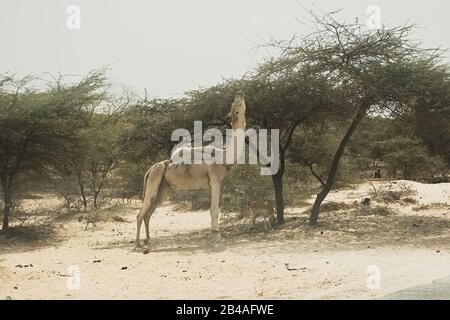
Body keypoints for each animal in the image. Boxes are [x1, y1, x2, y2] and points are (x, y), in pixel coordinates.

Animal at [135, 92, 248, 248]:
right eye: (237, 104)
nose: (239, 93)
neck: (224, 156)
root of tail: (152, 168)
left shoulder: (213, 184)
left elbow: (213, 209)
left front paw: (214, 234)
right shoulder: (215, 181)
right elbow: (214, 210)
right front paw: (217, 236)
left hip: (161, 188)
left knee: (149, 212)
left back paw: (147, 239)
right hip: (154, 181)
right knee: (141, 213)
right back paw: (138, 243)